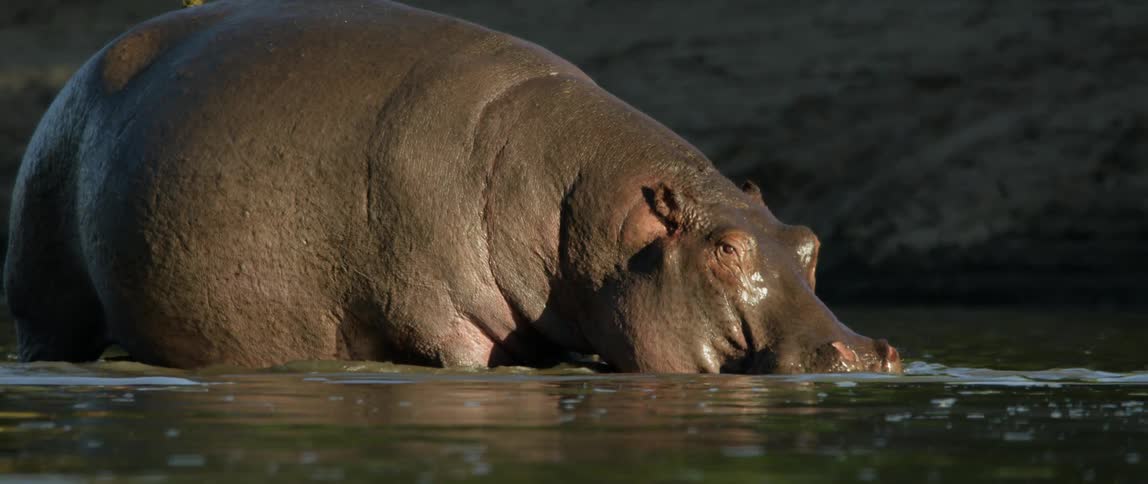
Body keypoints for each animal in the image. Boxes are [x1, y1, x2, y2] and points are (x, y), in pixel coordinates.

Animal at [5, 0, 901, 373]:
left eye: (809, 242)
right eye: (726, 247)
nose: (863, 350)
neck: (591, 219)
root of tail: (91, 57)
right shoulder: (445, 322)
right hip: (45, 293)